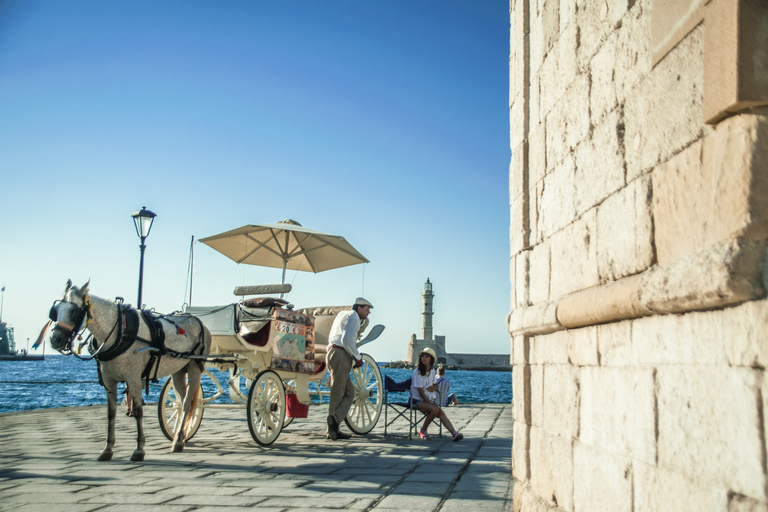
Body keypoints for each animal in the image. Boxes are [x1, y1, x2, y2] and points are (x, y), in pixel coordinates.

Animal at [48, 282, 212, 462]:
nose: (55, 340)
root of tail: (200, 321)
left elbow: (138, 412)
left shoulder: (134, 378)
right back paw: (179, 437)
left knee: (188, 402)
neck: (120, 332)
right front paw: (107, 449)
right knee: (182, 402)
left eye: (73, 311)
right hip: (178, 371)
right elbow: (111, 413)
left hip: (195, 366)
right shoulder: (109, 381)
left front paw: (139, 449)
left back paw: (178, 441)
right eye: (55, 311)